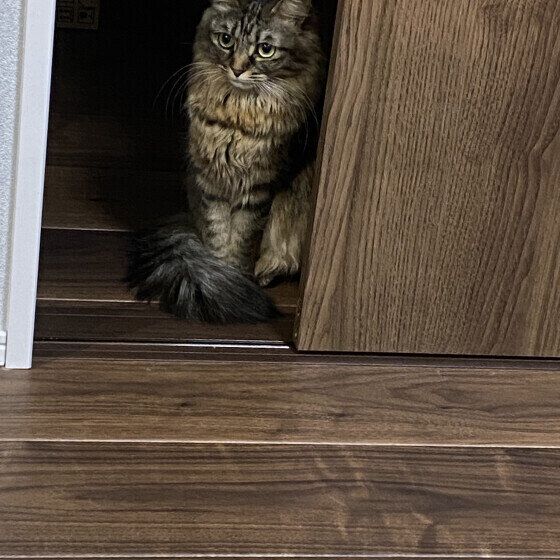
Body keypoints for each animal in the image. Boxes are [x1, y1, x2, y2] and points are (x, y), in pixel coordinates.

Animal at [128, 0, 325, 323]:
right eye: (226, 40)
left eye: (265, 49)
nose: (237, 68)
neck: (236, 118)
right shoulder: (210, 183)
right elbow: (218, 235)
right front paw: (220, 274)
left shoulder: (258, 190)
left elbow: (242, 240)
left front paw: (236, 277)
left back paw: (267, 270)